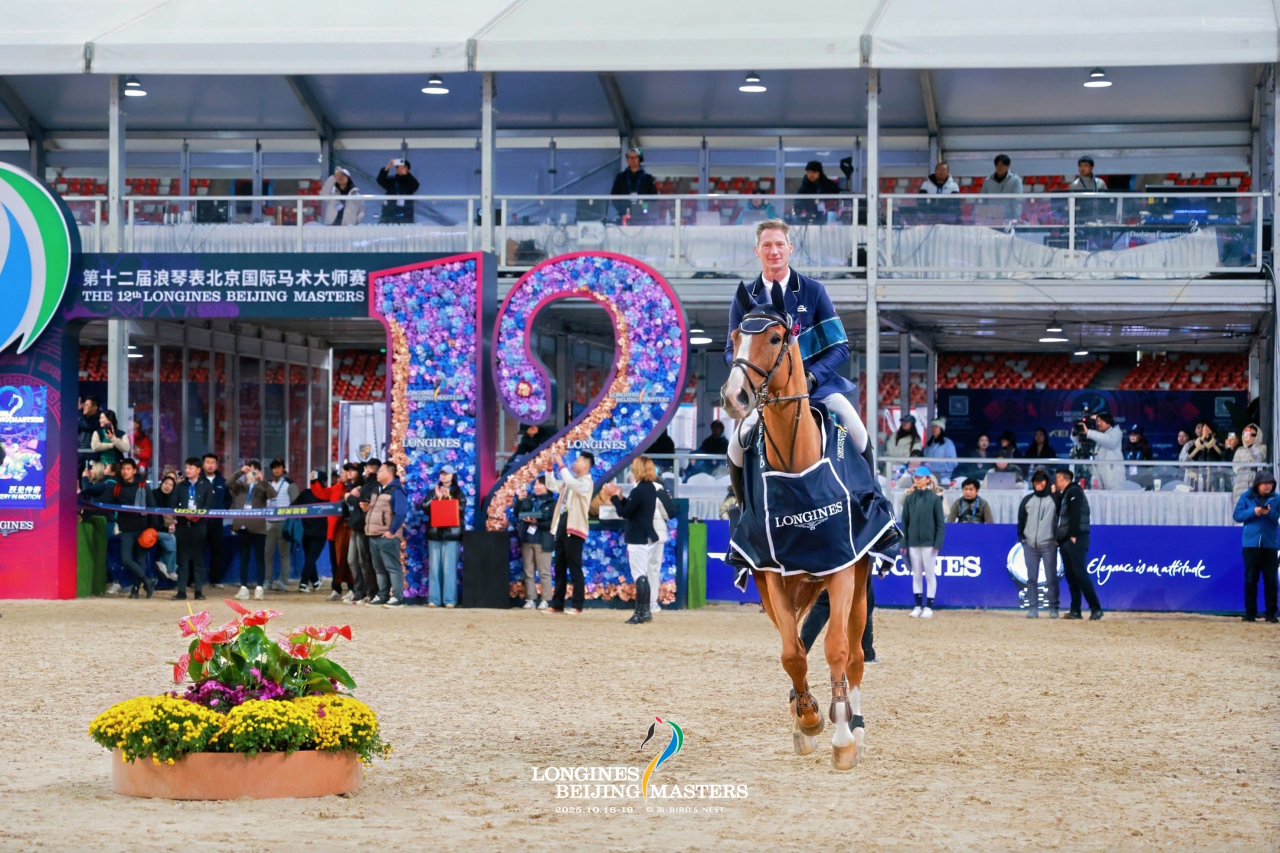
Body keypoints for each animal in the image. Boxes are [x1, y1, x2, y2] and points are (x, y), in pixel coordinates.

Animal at [720, 289, 871, 770]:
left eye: (775, 337)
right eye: (736, 336)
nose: (735, 395)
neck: (794, 463)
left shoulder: (842, 566)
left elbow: (837, 649)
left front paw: (842, 737)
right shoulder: (770, 574)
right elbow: (792, 653)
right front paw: (807, 719)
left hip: (861, 581)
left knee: (855, 655)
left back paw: (855, 724)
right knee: (800, 645)